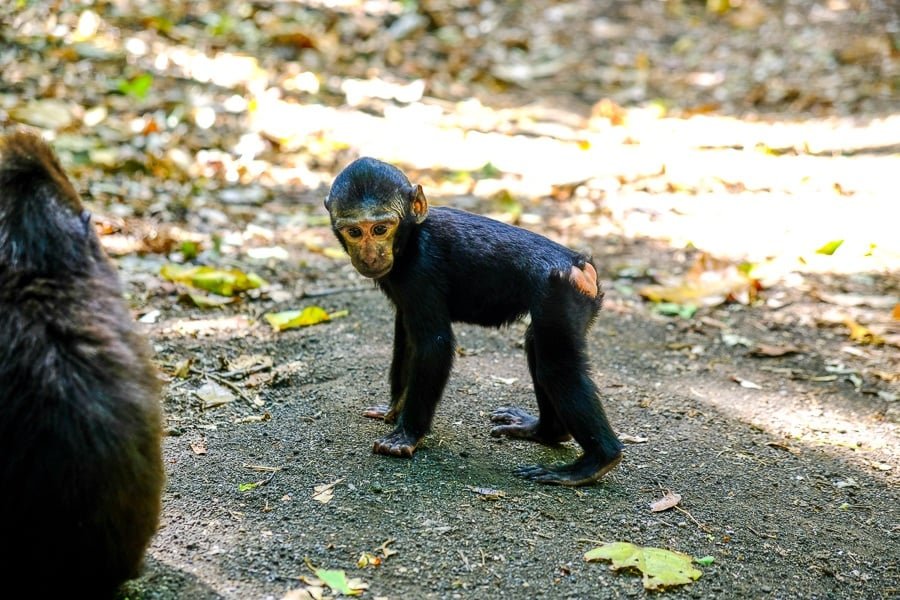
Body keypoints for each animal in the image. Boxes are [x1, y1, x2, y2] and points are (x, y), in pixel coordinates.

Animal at [326, 157, 624, 486]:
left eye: (380, 229)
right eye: (355, 232)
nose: (369, 256)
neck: (411, 237)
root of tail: (580, 266)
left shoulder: (420, 271)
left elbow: (433, 345)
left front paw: (406, 435)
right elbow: (407, 337)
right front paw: (393, 410)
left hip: (561, 293)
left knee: (556, 368)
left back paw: (597, 461)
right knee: (538, 346)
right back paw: (544, 431)